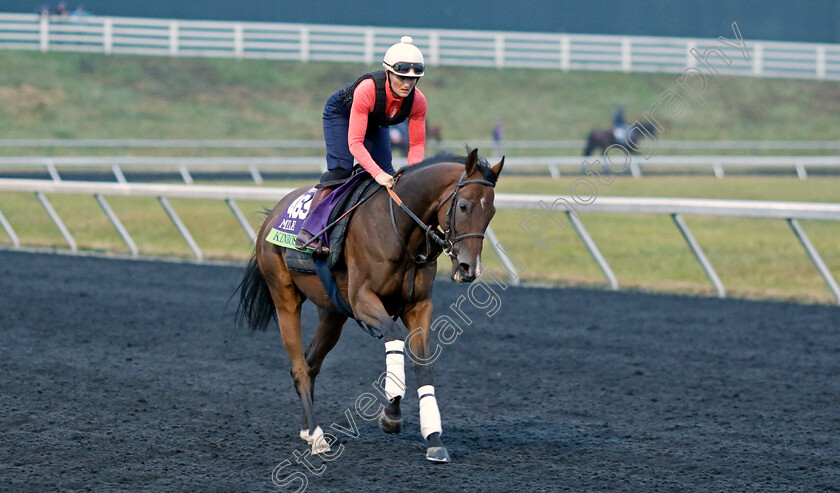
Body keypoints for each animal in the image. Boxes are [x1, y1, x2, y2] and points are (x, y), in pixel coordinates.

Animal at [236, 148, 502, 464]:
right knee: (299, 367)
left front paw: (434, 438)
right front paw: (392, 414)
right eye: (463, 206)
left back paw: (307, 430)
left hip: (332, 314)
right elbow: (395, 338)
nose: (468, 268)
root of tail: (272, 215)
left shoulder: (419, 306)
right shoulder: (363, 300)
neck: (399, 229)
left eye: (491, 212)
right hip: (284, 297)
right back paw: (317, 436)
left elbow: (423, 363)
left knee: (311, 364)